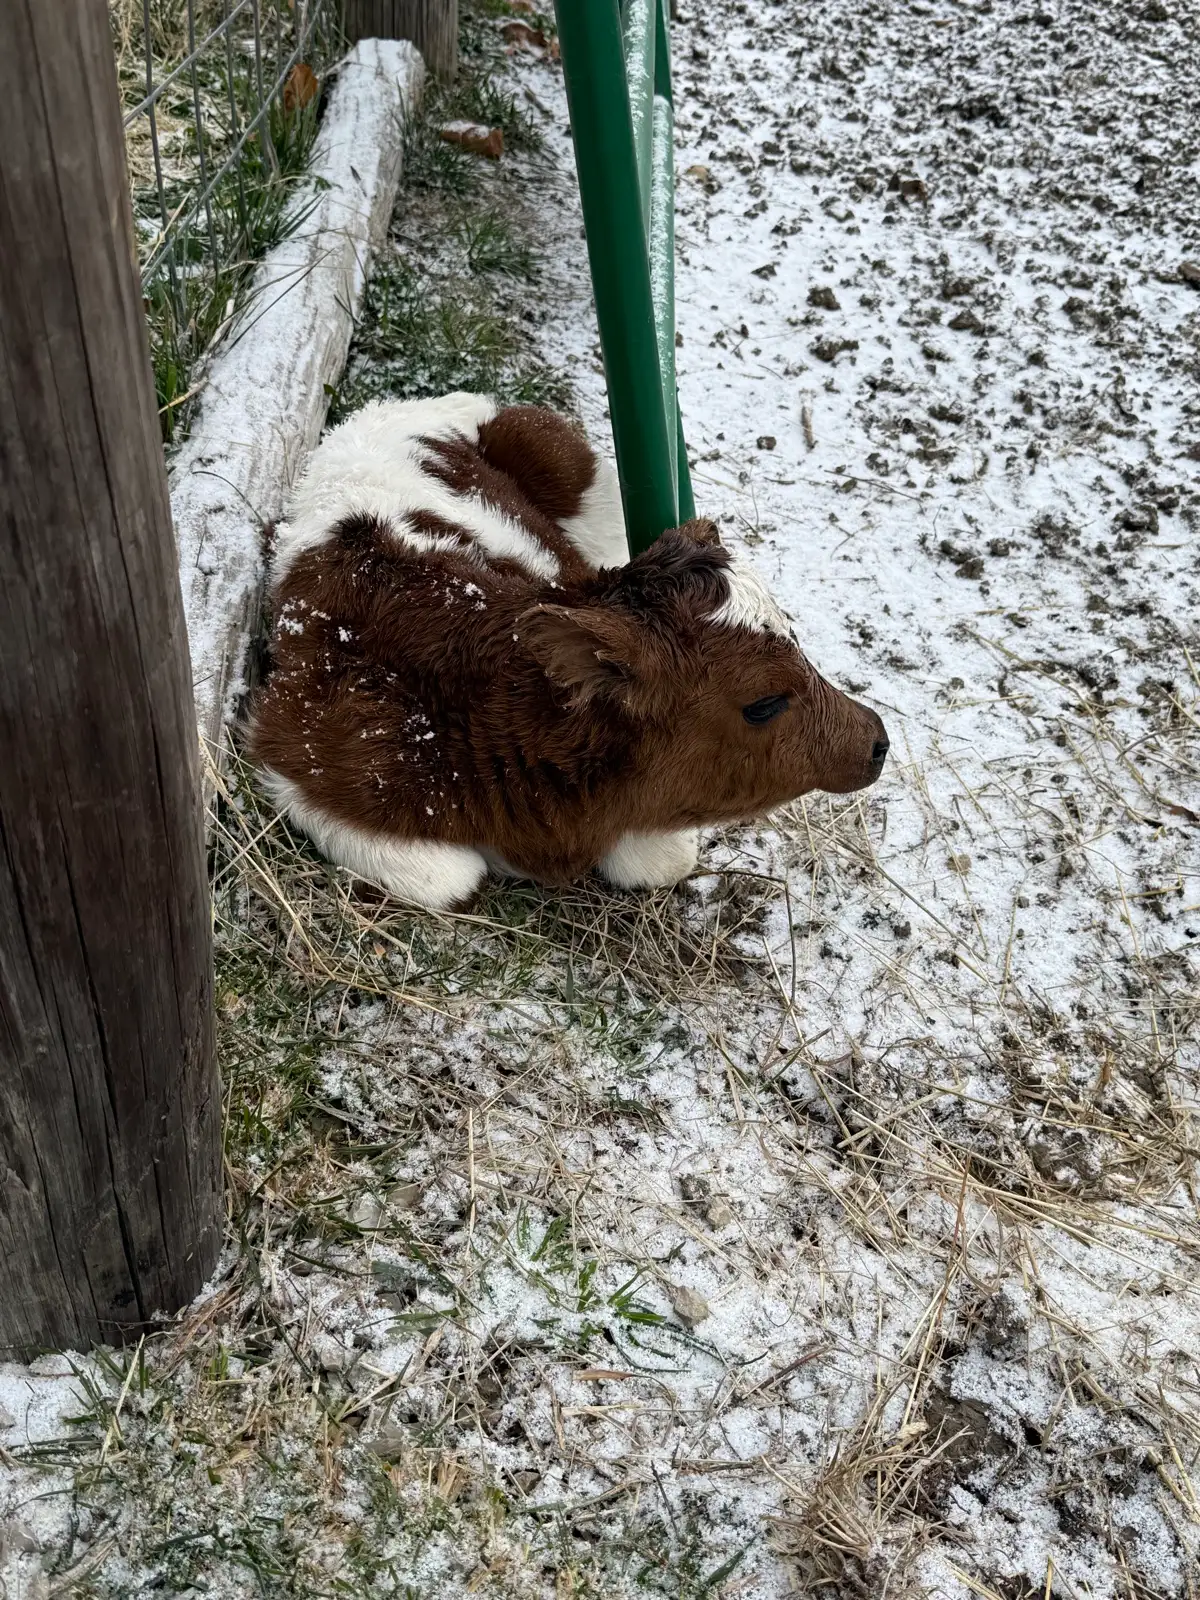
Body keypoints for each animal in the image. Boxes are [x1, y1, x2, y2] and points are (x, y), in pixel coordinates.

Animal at [248, 394, 888, 911]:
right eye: (763, 704)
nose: (878, 741)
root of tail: (400, 405)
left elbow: (665, 858)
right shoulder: (299, 744)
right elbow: (445, 877)